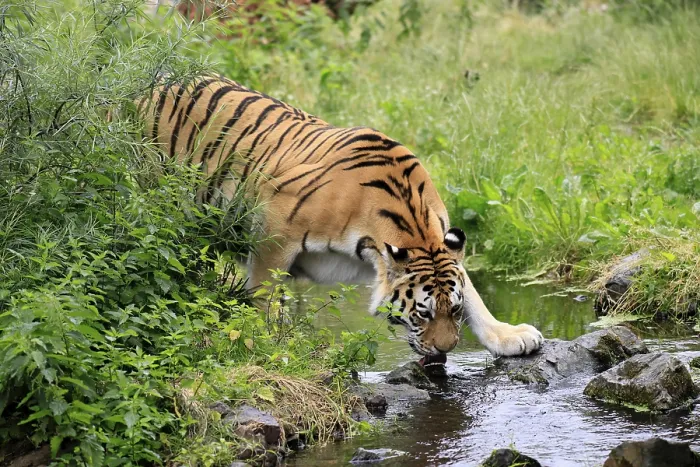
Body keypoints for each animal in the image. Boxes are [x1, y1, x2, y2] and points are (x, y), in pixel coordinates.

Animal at [140, 75, 543, 361]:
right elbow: (266, 297)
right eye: (422, 314)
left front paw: (510, 337)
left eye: (453, 310)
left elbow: (476, 296)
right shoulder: (273, 230)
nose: (445, 351)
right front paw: (269, 347)